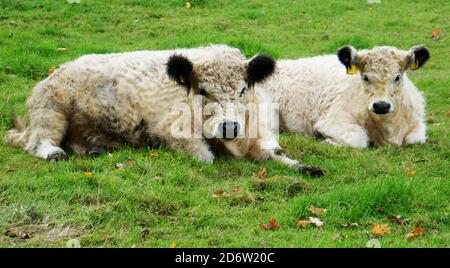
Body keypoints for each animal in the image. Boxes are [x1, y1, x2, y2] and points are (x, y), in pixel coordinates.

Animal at [6, 45, 324, 176]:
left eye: (243, 90)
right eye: (202, 91)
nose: (230, 127)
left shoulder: (254, 135)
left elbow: (276, 154)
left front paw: (306, 167)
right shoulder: (175, 135)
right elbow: (206, 158)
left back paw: (95, 149)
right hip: (51, 111)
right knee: (38, 142)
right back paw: (53, 153)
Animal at [258, 45, 430, 148]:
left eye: (397, 77)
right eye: (365, 77)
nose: (381, 105)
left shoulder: (417, 127)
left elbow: (415, 139)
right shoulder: (332, 121)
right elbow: (359, 139)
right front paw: (327, 140)